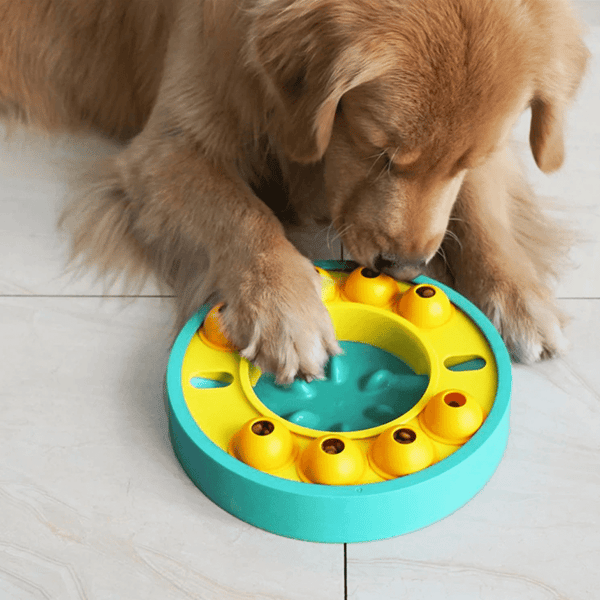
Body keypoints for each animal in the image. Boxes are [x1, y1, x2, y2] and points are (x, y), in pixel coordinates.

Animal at [0, 0, 592, 382]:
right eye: (378, 149)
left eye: (468, 160)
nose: (405, 268)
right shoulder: (167, 151)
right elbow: (242, 214)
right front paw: (286, 312)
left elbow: (480, 208)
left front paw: (518, 296)